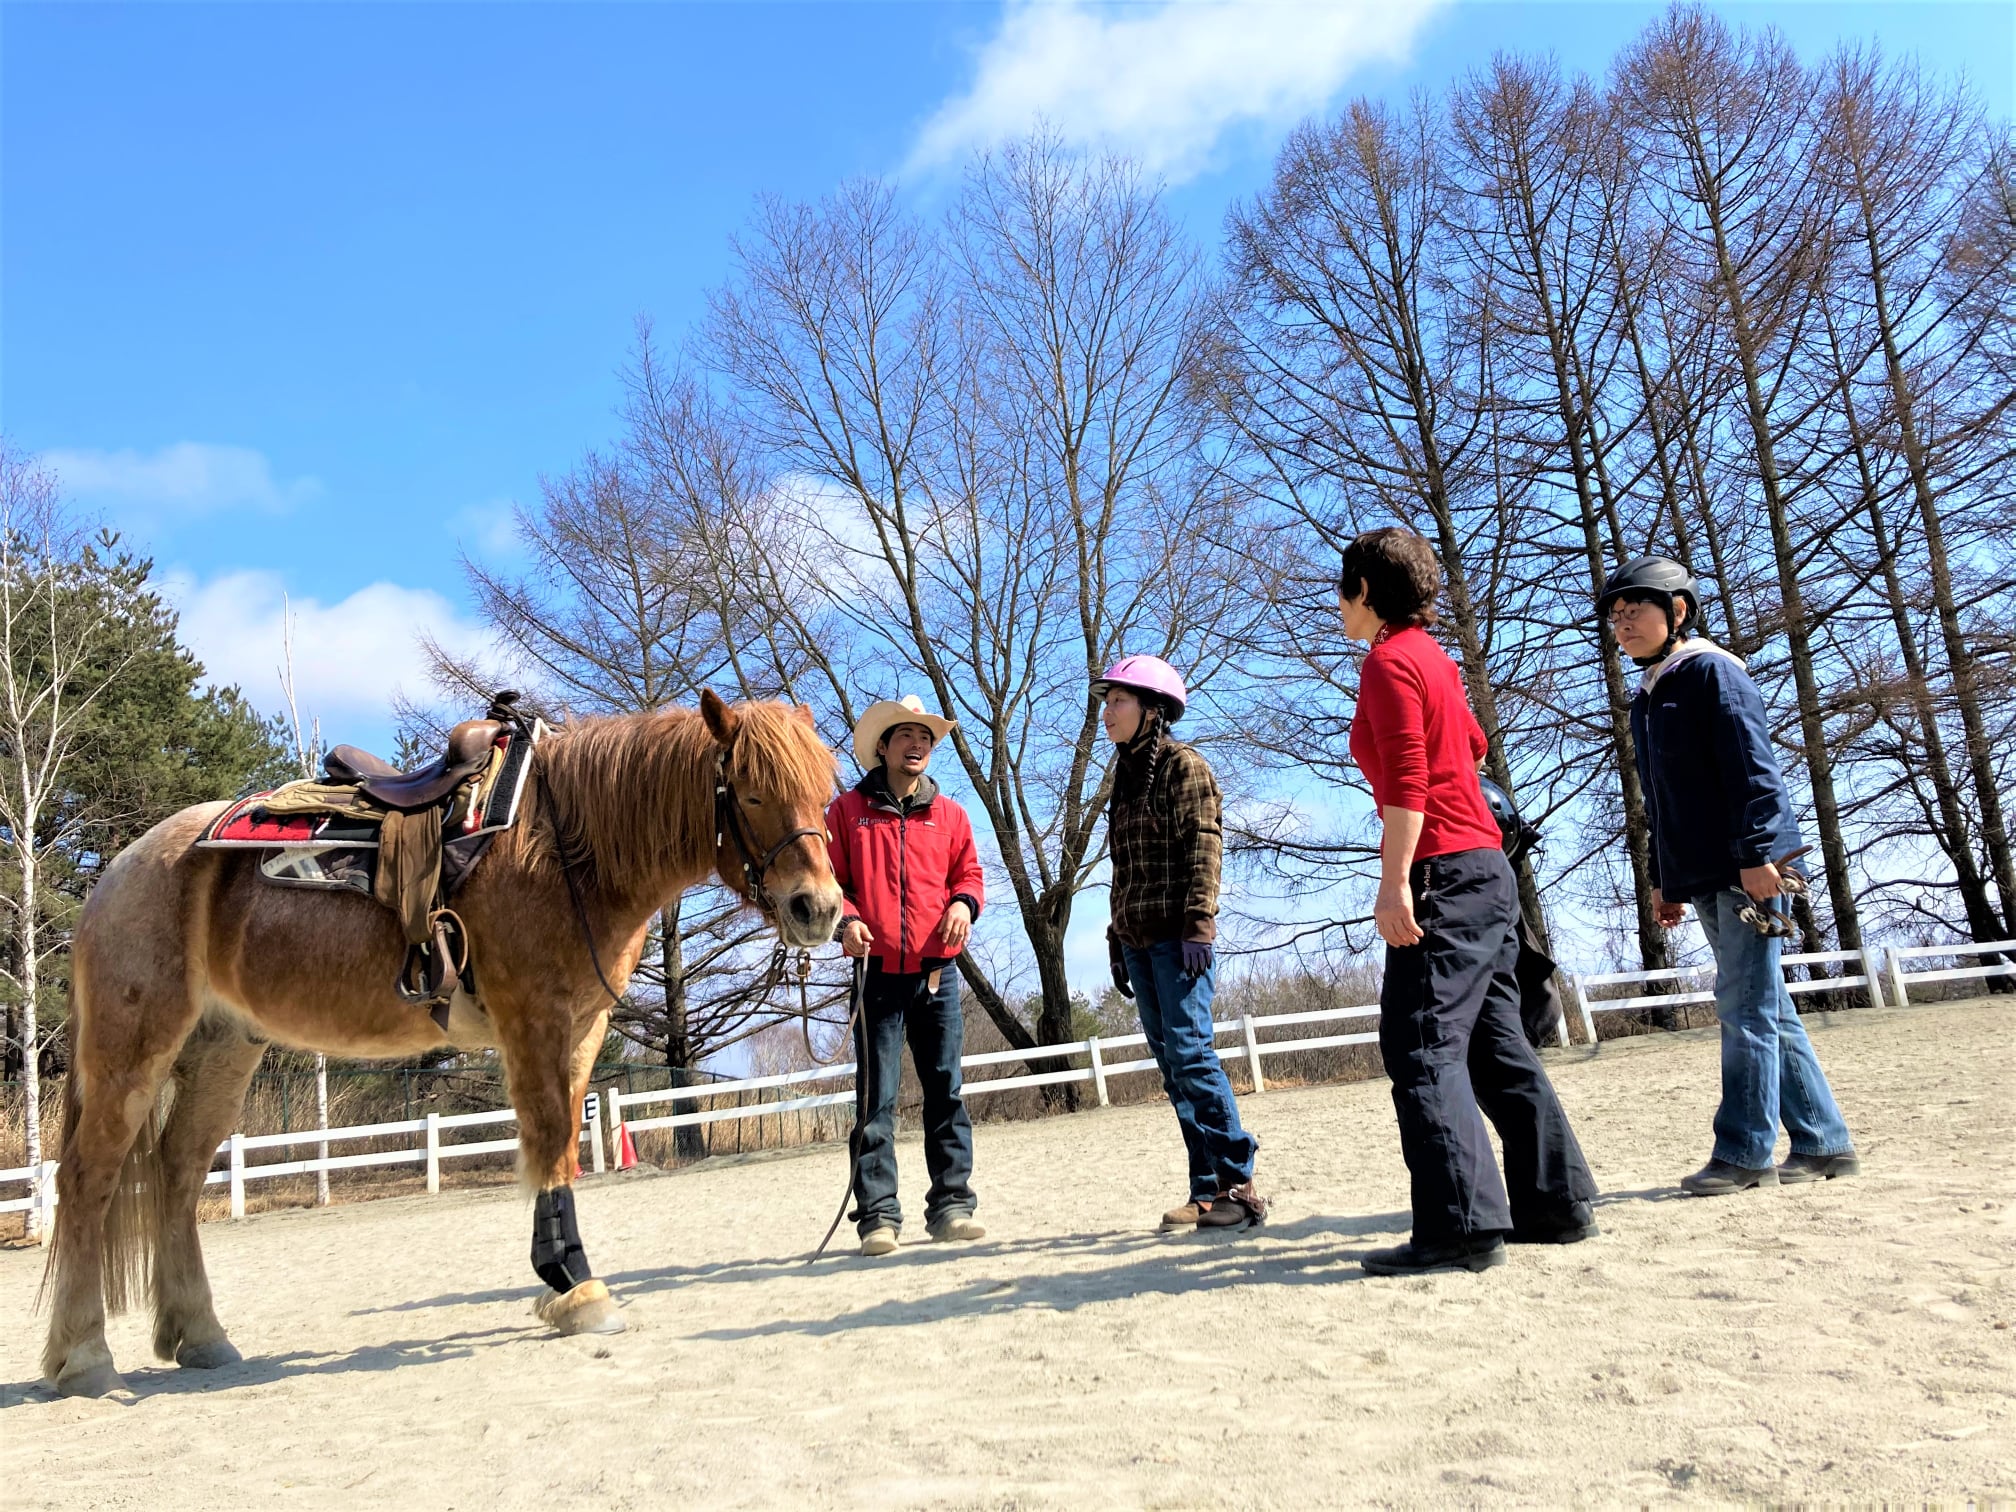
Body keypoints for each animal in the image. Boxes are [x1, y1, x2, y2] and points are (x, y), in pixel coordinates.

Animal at [39, 693, 842, 1403]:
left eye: (824, 790)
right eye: (752, 793)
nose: (820, 909)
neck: (563, 849)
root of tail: (122, 869)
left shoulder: (583, 1030)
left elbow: (562, 1147)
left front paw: (561, 1282)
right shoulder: (533, 1019)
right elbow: (549, 1138)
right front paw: (575, 1287)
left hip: (222, 1051)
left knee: (176, 1176)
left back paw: (202, 1336)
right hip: (131, 1051)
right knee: (86, 1179)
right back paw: (84, 1359)